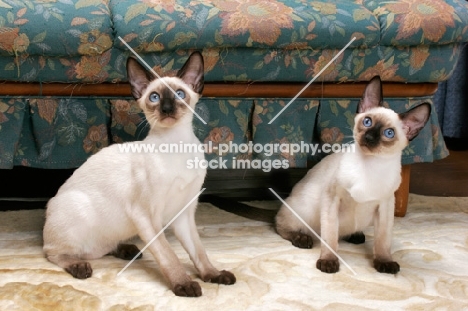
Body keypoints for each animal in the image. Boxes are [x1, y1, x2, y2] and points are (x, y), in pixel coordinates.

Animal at [42, 51, 236, 298]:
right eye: (154, 97)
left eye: (179, 94)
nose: (166, 109)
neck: (177, 145)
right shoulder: (146, 217)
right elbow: (169, 256)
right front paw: (184, 285)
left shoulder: (183, 213)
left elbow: (199, 252)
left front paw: (213, 275)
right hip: (79, 213)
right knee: (53, 252)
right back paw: (80, 266)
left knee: (101, 248)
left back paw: (125, 250)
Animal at [274, 76, 432, 276]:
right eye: (367, 122)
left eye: (389, 133)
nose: (370, 137)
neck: (370, 166)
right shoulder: (332, 200)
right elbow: (330, 238)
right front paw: (328, 262)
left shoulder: (386, 206)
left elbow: (383, 240)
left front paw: (384, 262)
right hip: (304, 211)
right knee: (283, 226)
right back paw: (302, 238)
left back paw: (355, 235)